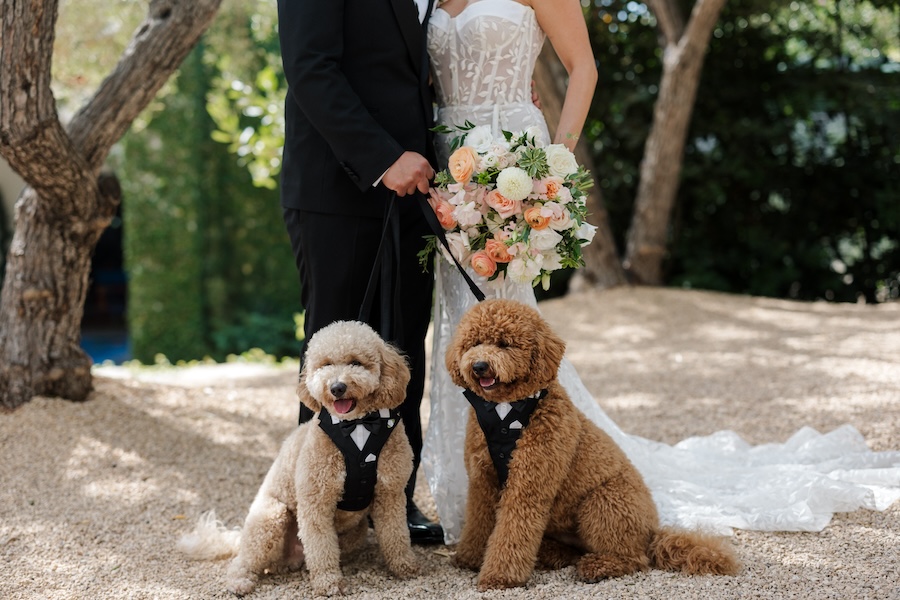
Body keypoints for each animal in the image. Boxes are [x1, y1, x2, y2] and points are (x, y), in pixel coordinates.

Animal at [179, 318, 418, 596]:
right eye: (325, 365)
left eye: (356, 362)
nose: (337, 387)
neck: (356, 425)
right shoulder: (317, 500)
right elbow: (321, 546)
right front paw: (329, 582)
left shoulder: (390, 493)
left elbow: (396, 534)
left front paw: (405, 567)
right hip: (270, 518)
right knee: (246, 558)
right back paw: (240, 581)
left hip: (354, 531)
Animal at [446, 300, 740, 592]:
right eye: (474, 342)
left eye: (505, 344)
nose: (479, 366)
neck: (506, 411)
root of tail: (651, 534)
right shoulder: (482, 480)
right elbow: (478, 521)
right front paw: (470, 558)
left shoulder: (528, 484)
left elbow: (511, 529)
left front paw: (499, 577)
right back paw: (553, 554)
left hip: (603, 502)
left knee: (635, 558)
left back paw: (597, 566)